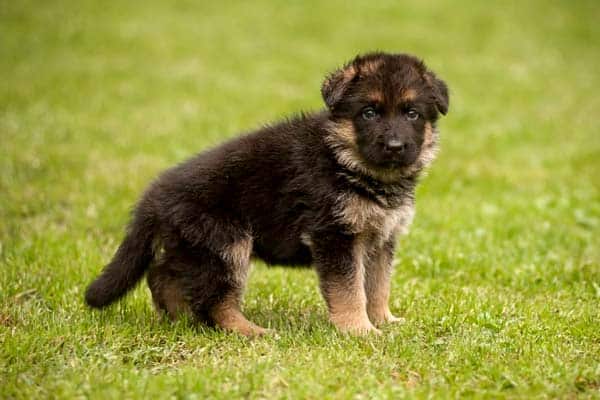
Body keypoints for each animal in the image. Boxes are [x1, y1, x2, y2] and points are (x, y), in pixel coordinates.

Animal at [86, 52, 448, 334]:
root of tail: (154, 195)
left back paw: (178, 318)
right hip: (227, 244)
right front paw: (359, 330)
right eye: (369, 113)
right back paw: (250, 331)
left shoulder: (381, 239)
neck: (345, 160)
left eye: (412, 113)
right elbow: (349, 289)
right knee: (215, 302)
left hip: (193, 247)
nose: (395, 146)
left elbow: (377, 285)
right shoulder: (335, 236)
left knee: (163, 275)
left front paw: (384, 320)